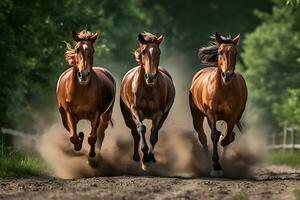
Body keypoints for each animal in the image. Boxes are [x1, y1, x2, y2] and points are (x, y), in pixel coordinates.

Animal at [56, 29, 115, 161]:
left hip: (106, 115)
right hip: (63, 114)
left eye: (93, 50)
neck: (82, 91)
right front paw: (78, 144)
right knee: (69, 128)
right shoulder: (70, 113)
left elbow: (92, 137)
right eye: (77, 49)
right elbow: (73, 136)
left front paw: (91, 155)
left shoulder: (96, 113)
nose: (83, 75)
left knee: (101, 133)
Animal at [120, 32, 176, 170]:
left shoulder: (159, 113)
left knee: (153, 131)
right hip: (127, 117)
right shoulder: (135, 110)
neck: (147, 88)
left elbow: (153, 135)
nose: (150, 77)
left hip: (164, 115)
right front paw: (145, 159)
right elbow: (141, 129)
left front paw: (150, 159)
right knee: (134, 132)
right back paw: (136, 157)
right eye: (143, 51)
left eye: (159, 52)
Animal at [189, 32, 247, 177]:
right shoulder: (211, 114)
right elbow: (214, 136)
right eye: (220, 52)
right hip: (197, 115)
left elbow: (226, 137)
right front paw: (216, 166)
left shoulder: (233, 116)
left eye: (236, 52)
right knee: (203, 137)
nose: (227, 75)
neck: (224, 90)